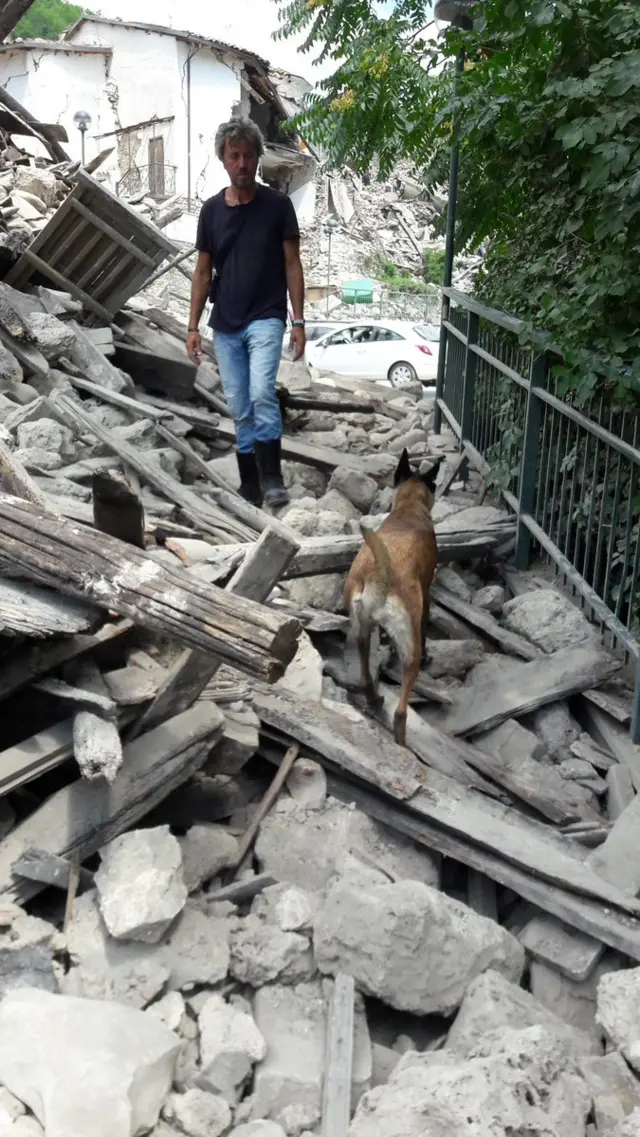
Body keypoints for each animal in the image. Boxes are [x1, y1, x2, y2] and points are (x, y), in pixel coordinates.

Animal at [345, 447, 441, 750]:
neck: (408, 508)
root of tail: (380, 575)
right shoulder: (426, 593)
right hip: (410, 649)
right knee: (401, 711)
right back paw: (401, 740)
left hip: (361, 632)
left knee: (365, 676)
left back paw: (374, 699)